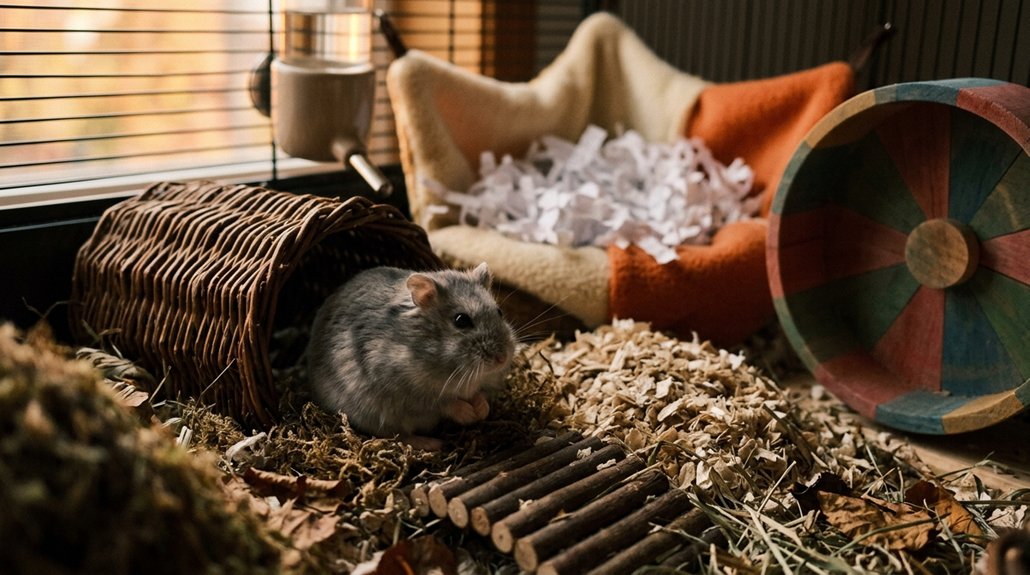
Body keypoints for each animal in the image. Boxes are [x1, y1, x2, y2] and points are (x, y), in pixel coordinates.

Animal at [305, 262, 516, 449]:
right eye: (461, 320)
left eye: (499, 312)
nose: (502, 359)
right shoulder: (410, 394)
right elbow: (445, 403)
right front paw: (469, 414)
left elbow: (481, 394)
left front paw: (481, 410)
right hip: (373, 415)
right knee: (399, 436)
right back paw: (434, 444)